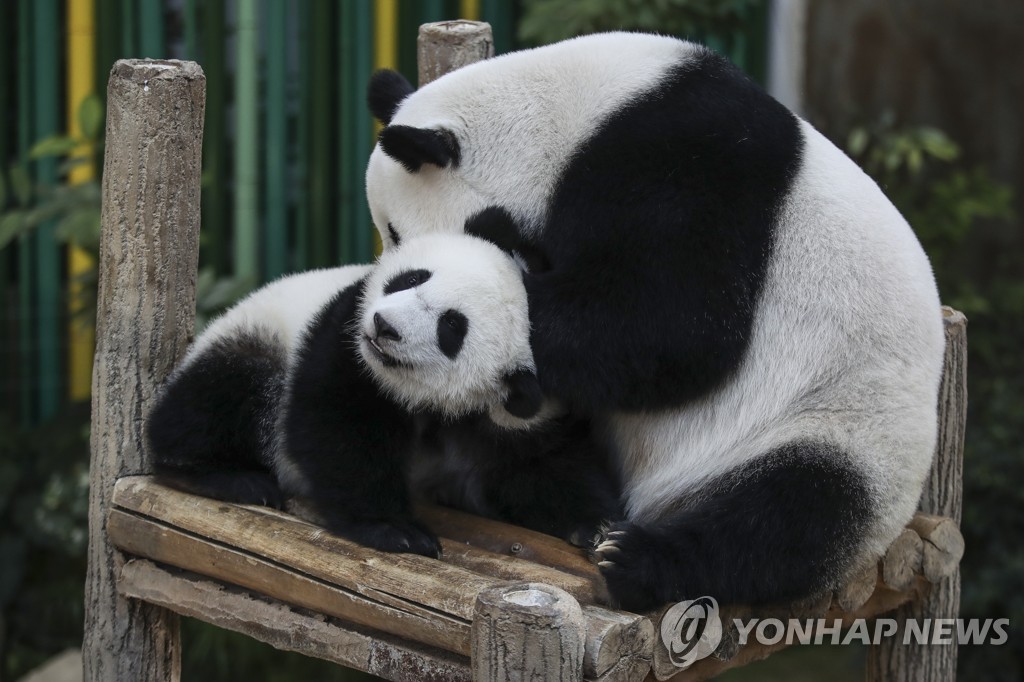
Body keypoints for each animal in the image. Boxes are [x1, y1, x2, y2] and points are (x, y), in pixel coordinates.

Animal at [147, 231, 618, 557]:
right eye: (410, 279)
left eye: (451, 326)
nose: (384, 326)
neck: (443, 403)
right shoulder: (344, 333)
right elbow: (340, 429)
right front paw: (396, 529)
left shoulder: (521, 411)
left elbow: (538, 465)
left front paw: (597, 529)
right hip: (260, 332)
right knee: (226, 389)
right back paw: (223, 474)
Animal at [362, 31, 942, 606]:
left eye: (396, 233)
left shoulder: (688, 161)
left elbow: (668, 329)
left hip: (840, 428)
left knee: (785, 518)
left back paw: (636, 559)